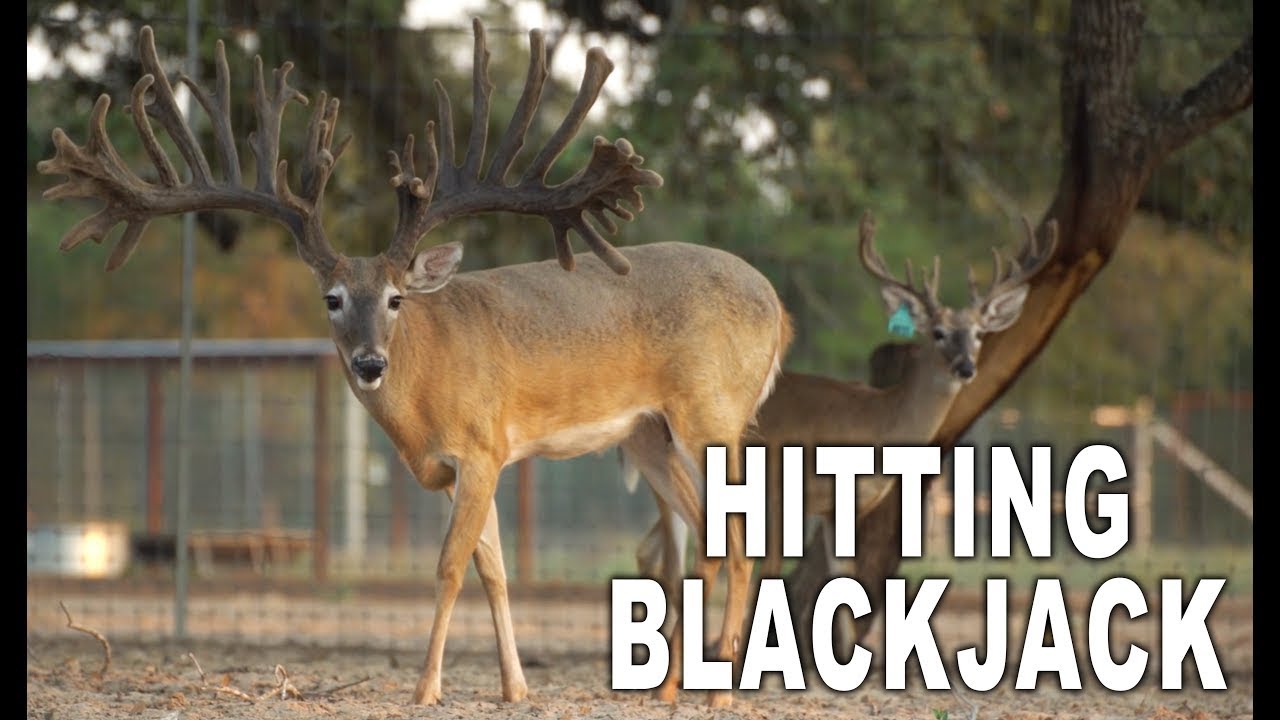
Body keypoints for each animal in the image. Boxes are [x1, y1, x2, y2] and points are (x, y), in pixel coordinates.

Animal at [37, 20, 791, 708]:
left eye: (397, 297)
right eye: (332, 298)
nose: (370, 363)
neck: (425, 387)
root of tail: (777, 307)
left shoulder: (483, 448)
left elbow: (450, 567)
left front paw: (426, 688)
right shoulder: (461, 469)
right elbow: (494, 570)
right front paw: (515, 687)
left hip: (711, 415)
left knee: (740, 539)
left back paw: (720, 696)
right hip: (647, 436)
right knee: (706, 539)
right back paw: (669, 689)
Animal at [627, 210, 1057, 654]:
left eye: (979, 334)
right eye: (937, 332)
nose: (966, 367)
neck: (877, 422)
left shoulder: (841, 508)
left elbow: (843, 578)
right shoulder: (783, 489)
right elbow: (771, 571)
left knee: (654, 547)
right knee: (668, 551)